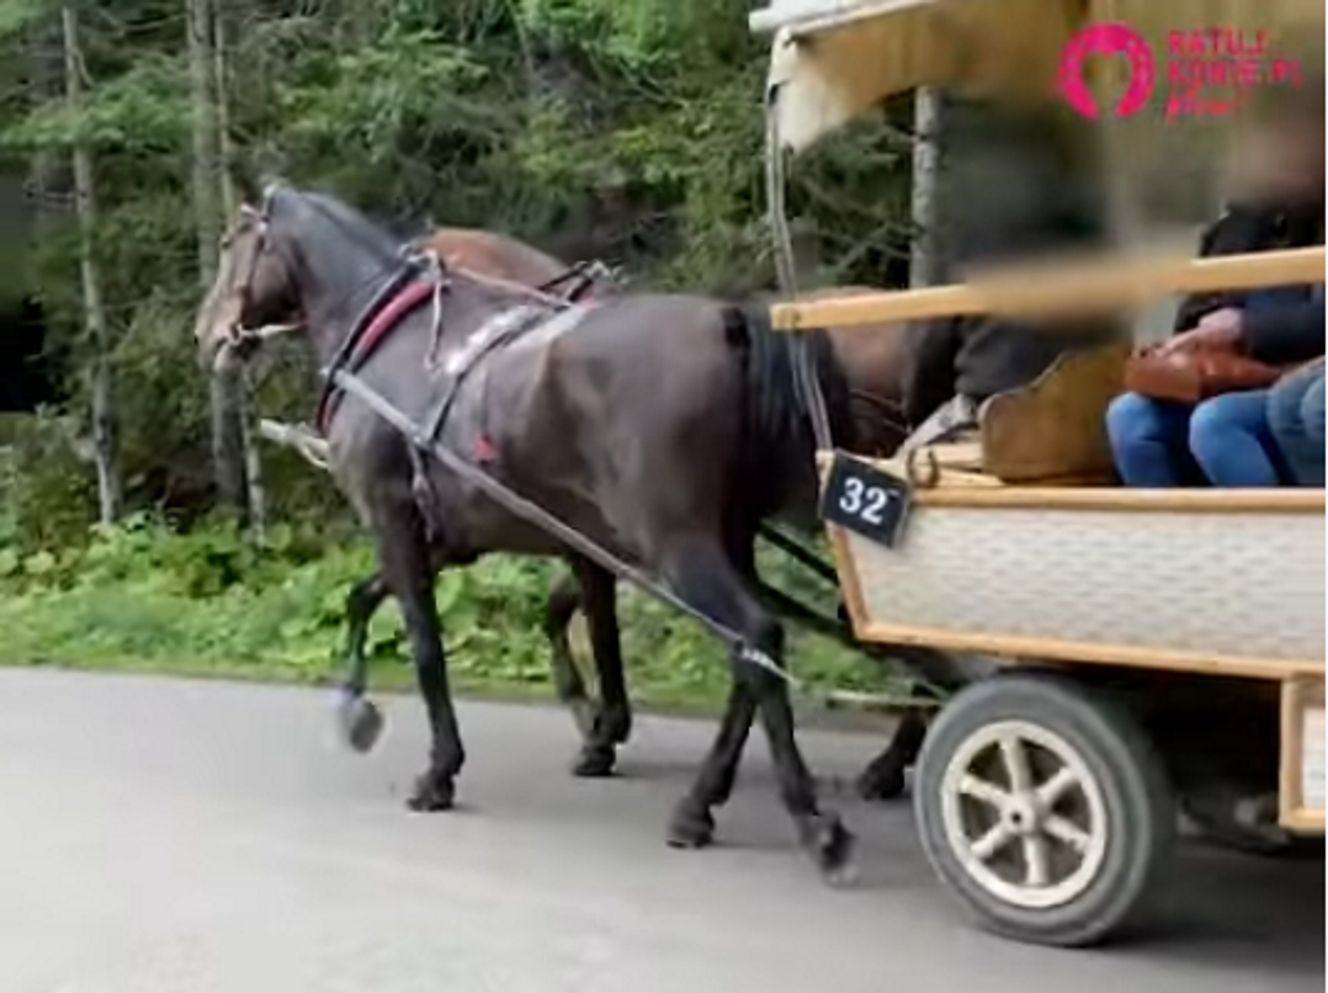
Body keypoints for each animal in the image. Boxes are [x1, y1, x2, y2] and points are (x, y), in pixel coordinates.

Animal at [196, 185, 860, 876]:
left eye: (231, 244)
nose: (207, 336)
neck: (394, 345)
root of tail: (727, 322)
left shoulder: (394, 519)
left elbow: (427, 647)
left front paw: (439, 769)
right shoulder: (449, 536)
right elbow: (365, 599)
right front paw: (355, 703)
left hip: (677, 543)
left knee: (755, 637)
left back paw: (811, 822)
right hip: (728, 536)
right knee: (750, 654)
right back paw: (702, 804)